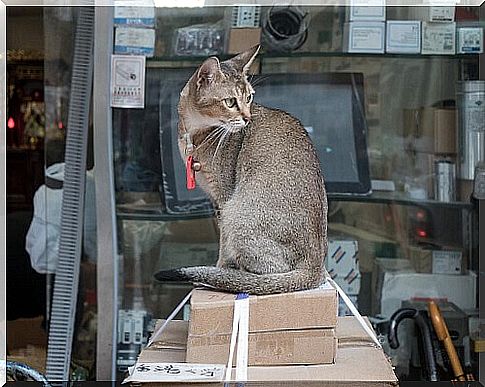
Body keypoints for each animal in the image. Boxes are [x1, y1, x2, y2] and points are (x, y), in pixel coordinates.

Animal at [154, 44, 328, 294]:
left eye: (249, 97)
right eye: (230, 102)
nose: (247, 118)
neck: (195, 133)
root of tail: (317, 267)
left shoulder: (223, 196)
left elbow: (223, 242)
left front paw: (220, 268)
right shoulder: (213, 199)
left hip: (236, 215)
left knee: (269, 274)